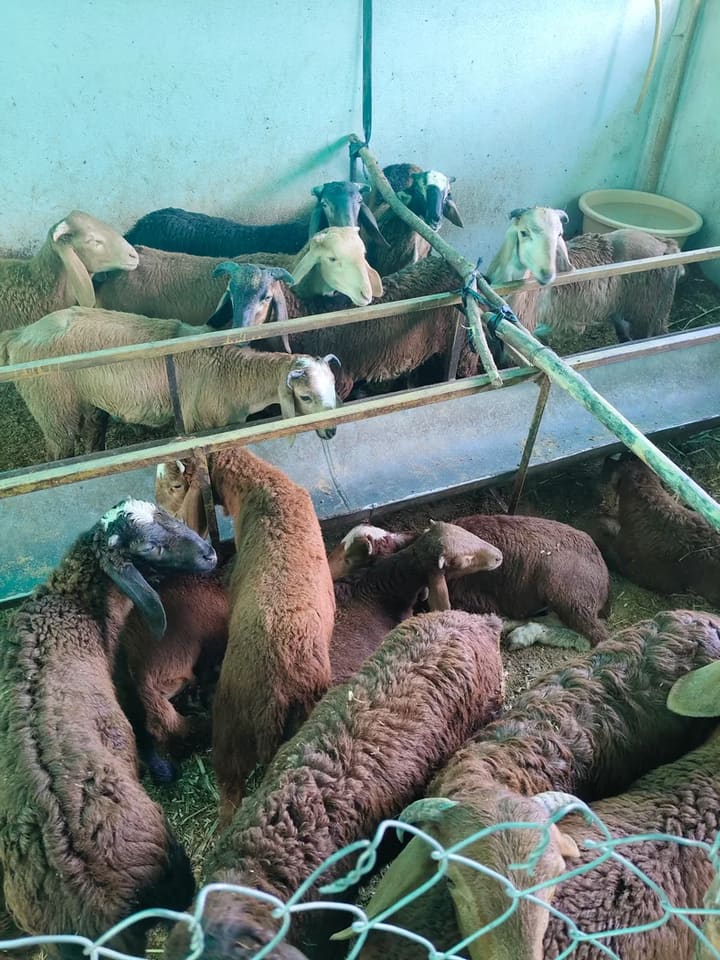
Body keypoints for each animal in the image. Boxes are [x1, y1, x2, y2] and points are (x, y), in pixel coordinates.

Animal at [0, 307, 341, 459]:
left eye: (334, 388)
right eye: (306, 397)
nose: (332, 431)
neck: (231, 375)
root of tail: (20, 334)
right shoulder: (199, 426)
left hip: (88, 402)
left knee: (93, 433)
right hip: (53, 407)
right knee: (58, 450)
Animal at [0, 498, 217, 957]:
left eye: (165, 513)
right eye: (150, 547)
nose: (210, 554)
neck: (71, 602)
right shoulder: (120, 677)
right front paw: (163, 767)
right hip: (170, 864)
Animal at [328, 513, 611, 648]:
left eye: (352, 559)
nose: (327, 573)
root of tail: (604, 576)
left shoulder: (470, 598)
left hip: (565, 590)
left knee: (593, 636)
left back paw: (522, 634)